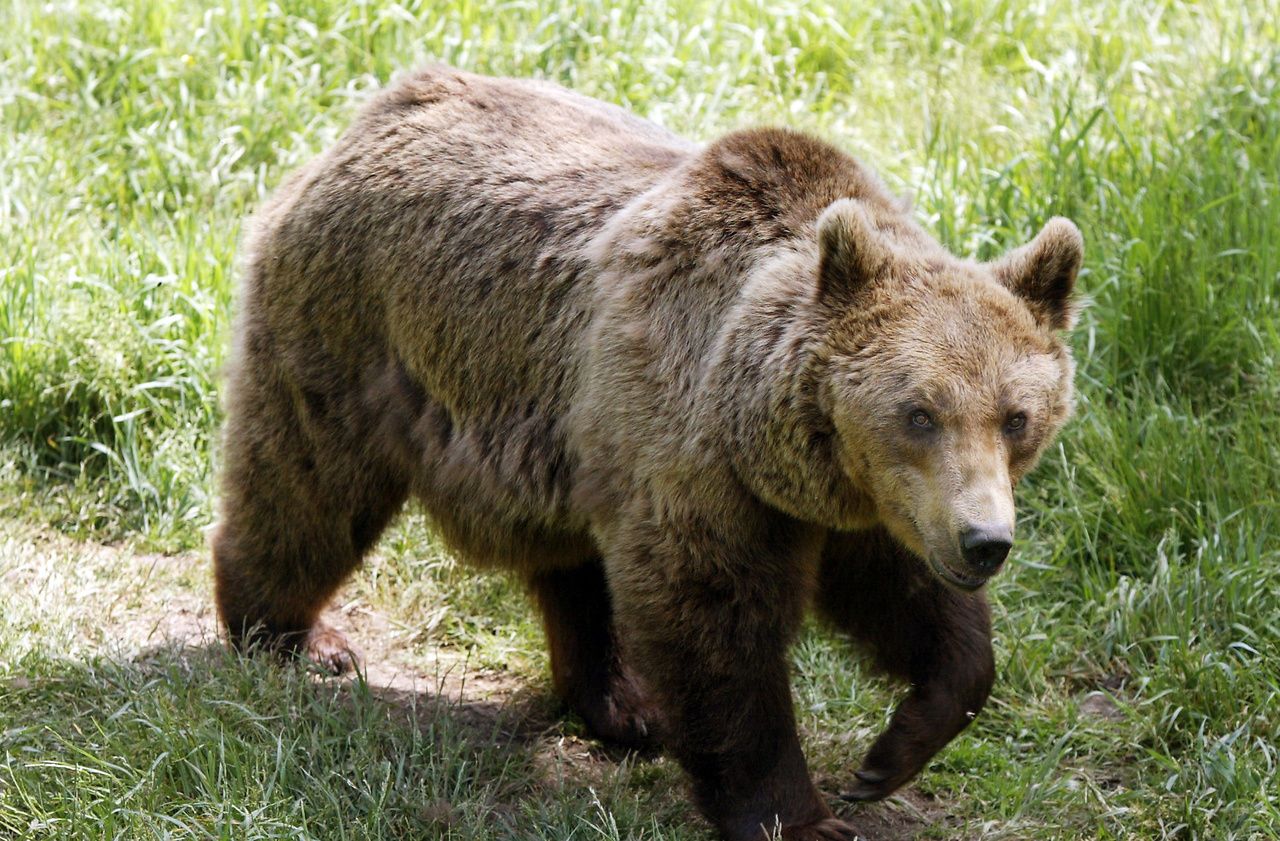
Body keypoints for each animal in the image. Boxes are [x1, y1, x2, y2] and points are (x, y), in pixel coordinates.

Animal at [209, 65, 1080, 839]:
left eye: (1017, 417)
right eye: (919, 411)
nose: (986, 541)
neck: (777, 445)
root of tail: (378, 107)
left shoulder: (868, 502)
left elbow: (913, 604)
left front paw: (892, 750)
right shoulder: (701, 456)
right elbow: (711, 622)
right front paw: (799, 815)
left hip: (559, 436)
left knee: (569, 560)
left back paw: (622, 703)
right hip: (358, 327)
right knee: (308, 481)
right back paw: (293, 634)